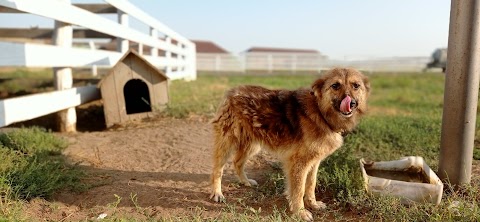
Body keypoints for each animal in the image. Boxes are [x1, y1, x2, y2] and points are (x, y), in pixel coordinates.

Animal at [210, 68, 372, 221]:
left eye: (356, 86)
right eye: (335, 85)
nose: (351, 103)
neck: (320, 112)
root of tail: (232, 91)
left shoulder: (314, 161)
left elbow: (311, 184)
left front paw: (313, 204)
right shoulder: (299, 163)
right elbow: (299, 190)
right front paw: (300, 212)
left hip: (253, 145)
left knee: (237, 162)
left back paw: (245, 181)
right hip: (227, 142)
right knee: (218, 169)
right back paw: (217, 193)